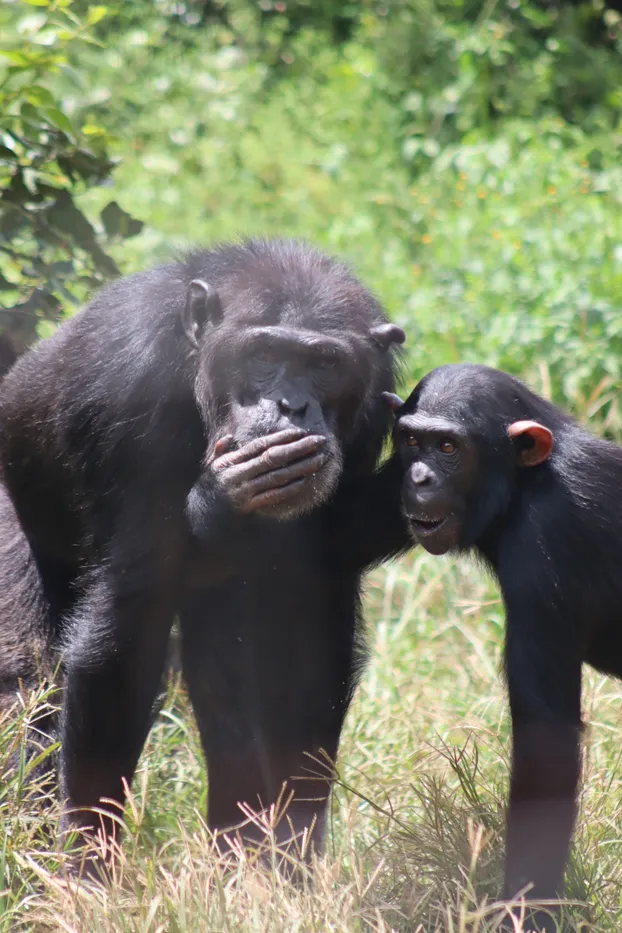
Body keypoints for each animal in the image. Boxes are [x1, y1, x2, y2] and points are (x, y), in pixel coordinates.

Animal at [0, 240, 410, 868]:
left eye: (325, 364)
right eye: (264, 353)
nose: (290, 405)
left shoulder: (370, 419)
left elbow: (305, 629)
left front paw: (293, 857)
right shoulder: (129, 384)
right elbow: (126, 629)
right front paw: (86, 869)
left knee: (222, 671)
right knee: (32, 677)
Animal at [390, 362, 622, 924]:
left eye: (447, 447)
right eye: (410, 441)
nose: (418, 476)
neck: (525, 484)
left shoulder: (545, 546)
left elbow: (546, 746)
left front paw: (525, 909)